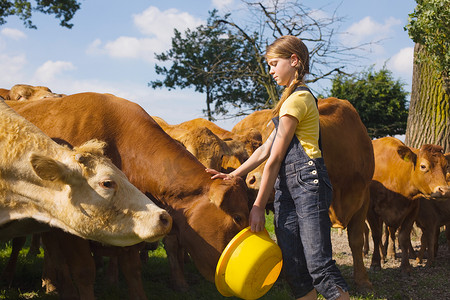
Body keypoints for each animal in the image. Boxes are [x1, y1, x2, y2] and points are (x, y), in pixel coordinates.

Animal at [368, 137, 448, 276]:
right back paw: (383, 257)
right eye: (423, 166)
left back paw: (391, 253)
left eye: (446, 166)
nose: (444, 190)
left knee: (391, 232)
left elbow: (403, 237)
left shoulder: (412, 211)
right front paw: (375, 263)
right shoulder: (370, 210)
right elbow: (376, 235)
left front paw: (405, 267)